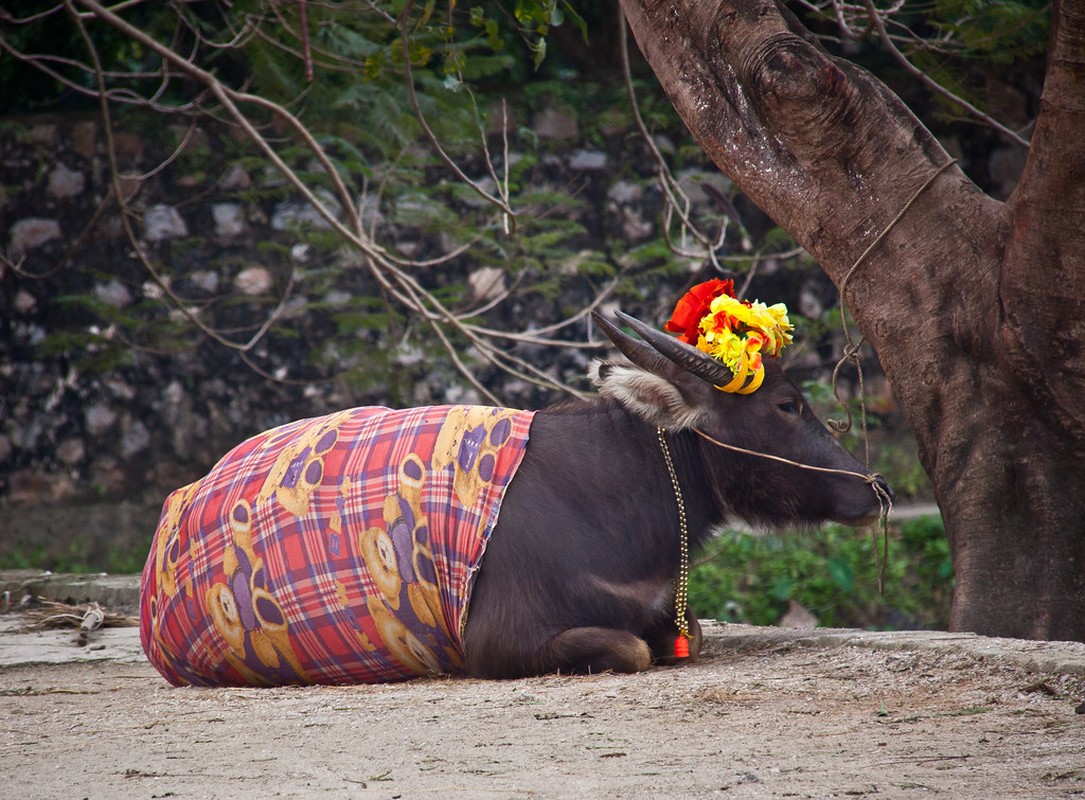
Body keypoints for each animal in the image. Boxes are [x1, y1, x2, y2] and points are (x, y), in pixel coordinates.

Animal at [139, 308, 889, 681]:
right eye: (787, 404)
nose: (873, 489)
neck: (617, 495)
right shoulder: (499, 642)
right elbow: (633, 650)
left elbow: (689, 635)